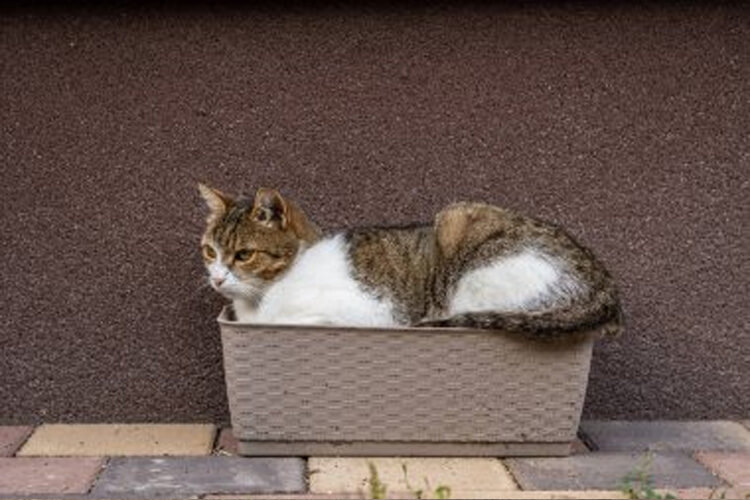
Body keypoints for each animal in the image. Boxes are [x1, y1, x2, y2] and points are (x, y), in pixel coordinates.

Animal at [198, 184, 624, 340]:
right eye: (209, 252)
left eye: (244, 254)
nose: (217, 279)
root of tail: (606, 287)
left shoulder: (373, 311)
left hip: (460, 233)